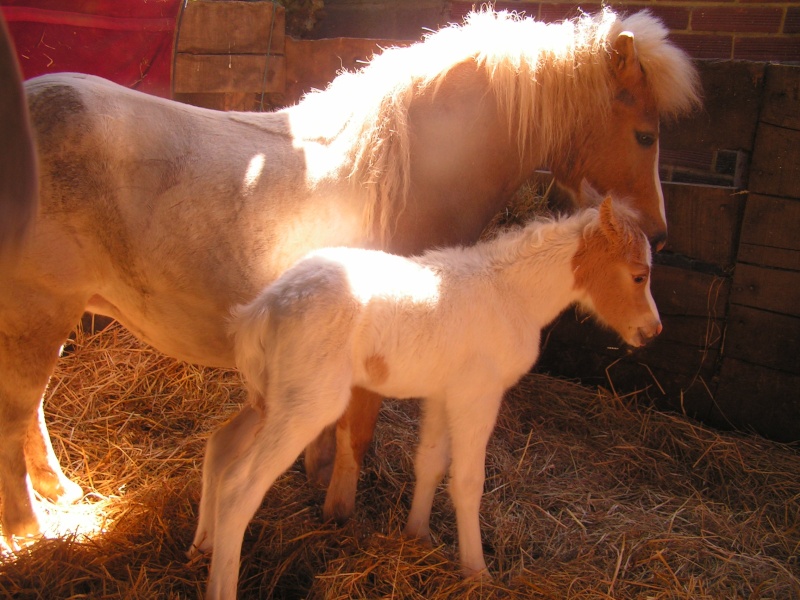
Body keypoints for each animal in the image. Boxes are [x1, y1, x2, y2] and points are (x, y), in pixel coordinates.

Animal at [0, 8, 696, 544]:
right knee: (14, 415)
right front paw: (339, 508)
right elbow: (357, 428)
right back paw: (29, 529)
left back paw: (61, 492)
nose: (658, 232)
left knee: (30, 412)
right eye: (644, 134)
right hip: (39, 310)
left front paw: (314, 475)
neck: (416, 165)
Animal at [191, 196, 660, 596]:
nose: (652, 330)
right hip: (306, 407)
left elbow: (430, 462)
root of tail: (266, 306)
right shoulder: (478, 396)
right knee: (239, 488)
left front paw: (417, 534)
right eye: (639, 275)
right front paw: (477, 571)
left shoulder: (442, 394)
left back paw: (202, 547)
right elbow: (468, 481)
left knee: (221, 445)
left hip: (274, 398)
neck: (510, 294)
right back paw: (221, 582)